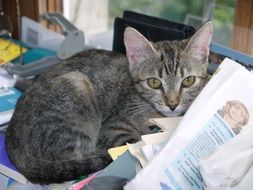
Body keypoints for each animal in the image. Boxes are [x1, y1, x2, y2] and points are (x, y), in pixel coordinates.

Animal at [4, 21, 212, 183]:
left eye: (188, 80)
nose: (172, 104)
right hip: (76, 89)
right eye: (154, 82)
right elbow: (133, 140)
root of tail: (12, 139)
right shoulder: (112, 128)